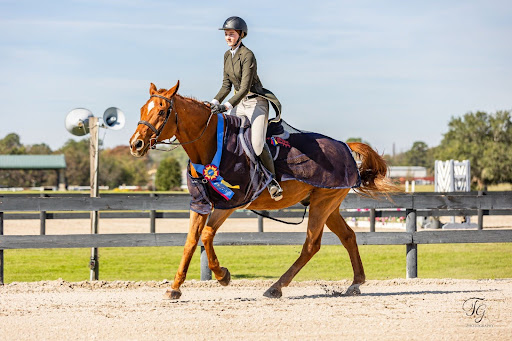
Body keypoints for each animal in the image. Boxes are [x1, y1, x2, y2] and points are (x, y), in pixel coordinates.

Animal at [128, 80, 396, 298]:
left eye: (162, 111)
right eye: (142, 110)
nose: (135, 144)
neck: (210, 144)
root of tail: (345, 146)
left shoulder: (231, 201)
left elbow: (206, 235)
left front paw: (222, 275)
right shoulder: (200, 203)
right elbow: (191, 241)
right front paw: (175, 288)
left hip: (323, 203)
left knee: (311, 245)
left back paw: (276, 287)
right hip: (327, 204)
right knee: (348, 236)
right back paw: (355, 284)